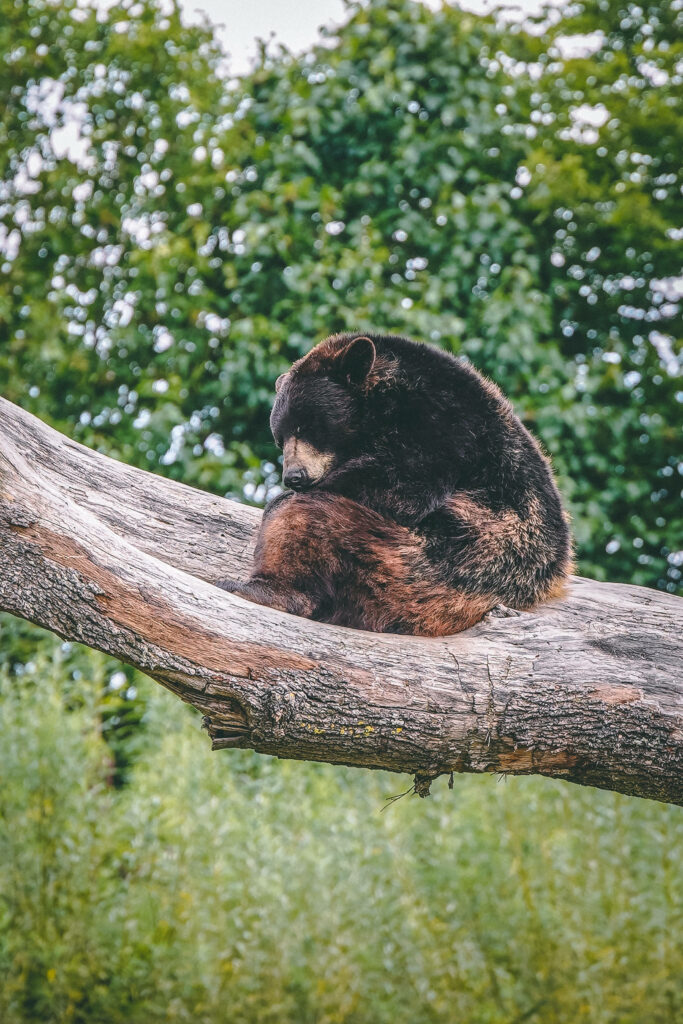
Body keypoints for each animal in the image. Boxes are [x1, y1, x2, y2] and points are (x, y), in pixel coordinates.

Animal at [217, 332, 572, 636]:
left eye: (310, 427)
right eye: (280, 437)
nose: (294, 476)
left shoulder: (441, 426)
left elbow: (403, 486)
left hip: (422, 568)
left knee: (307, 519)